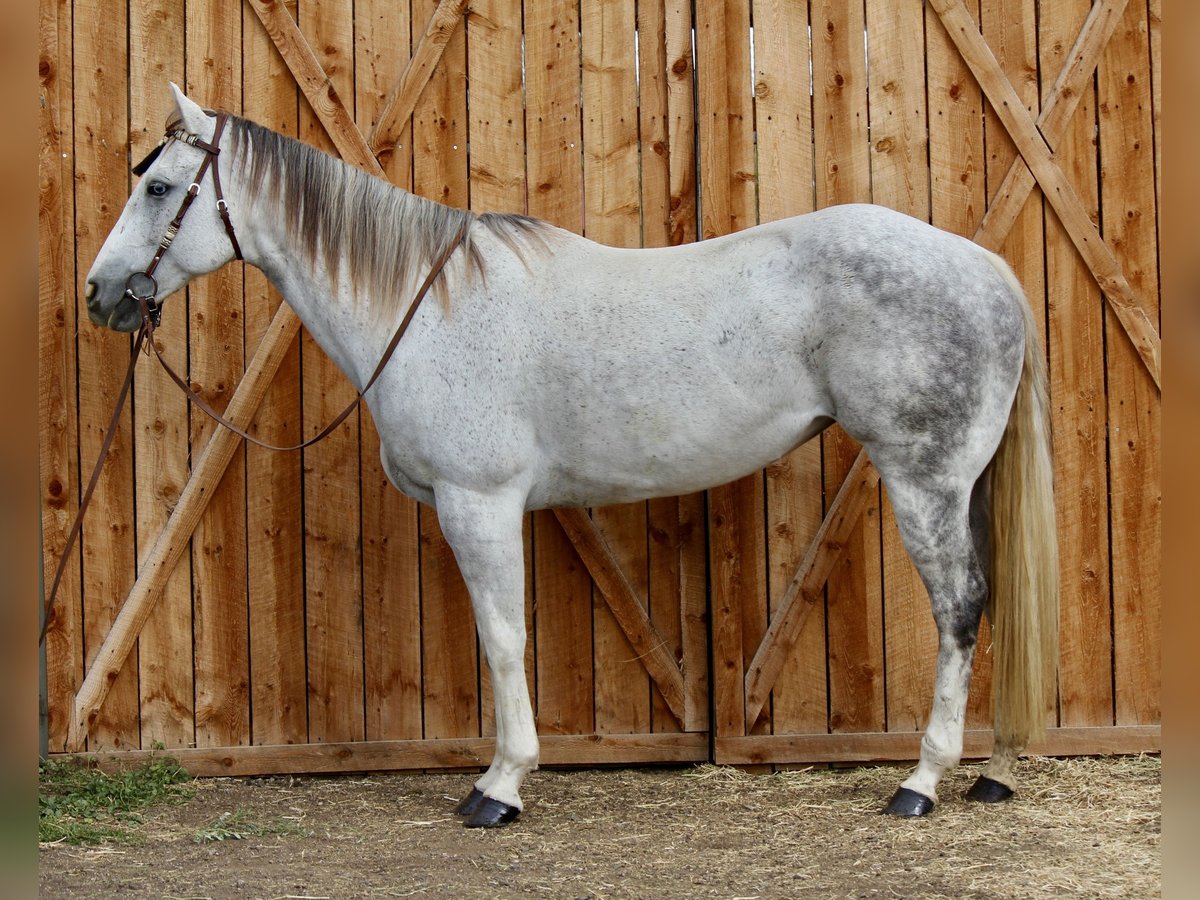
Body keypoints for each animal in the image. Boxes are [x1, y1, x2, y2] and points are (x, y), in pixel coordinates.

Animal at [84, 84, 1058, 828]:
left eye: (161, 187)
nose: (99, 294)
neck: (427, 305)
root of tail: (986, 268)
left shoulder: (478, 502)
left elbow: (503, 638)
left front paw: (500, 787)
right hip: (965, 483)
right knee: (997, 602)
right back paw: (994, 771)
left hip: (924, 479)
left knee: (960, 609)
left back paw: (920, 782)